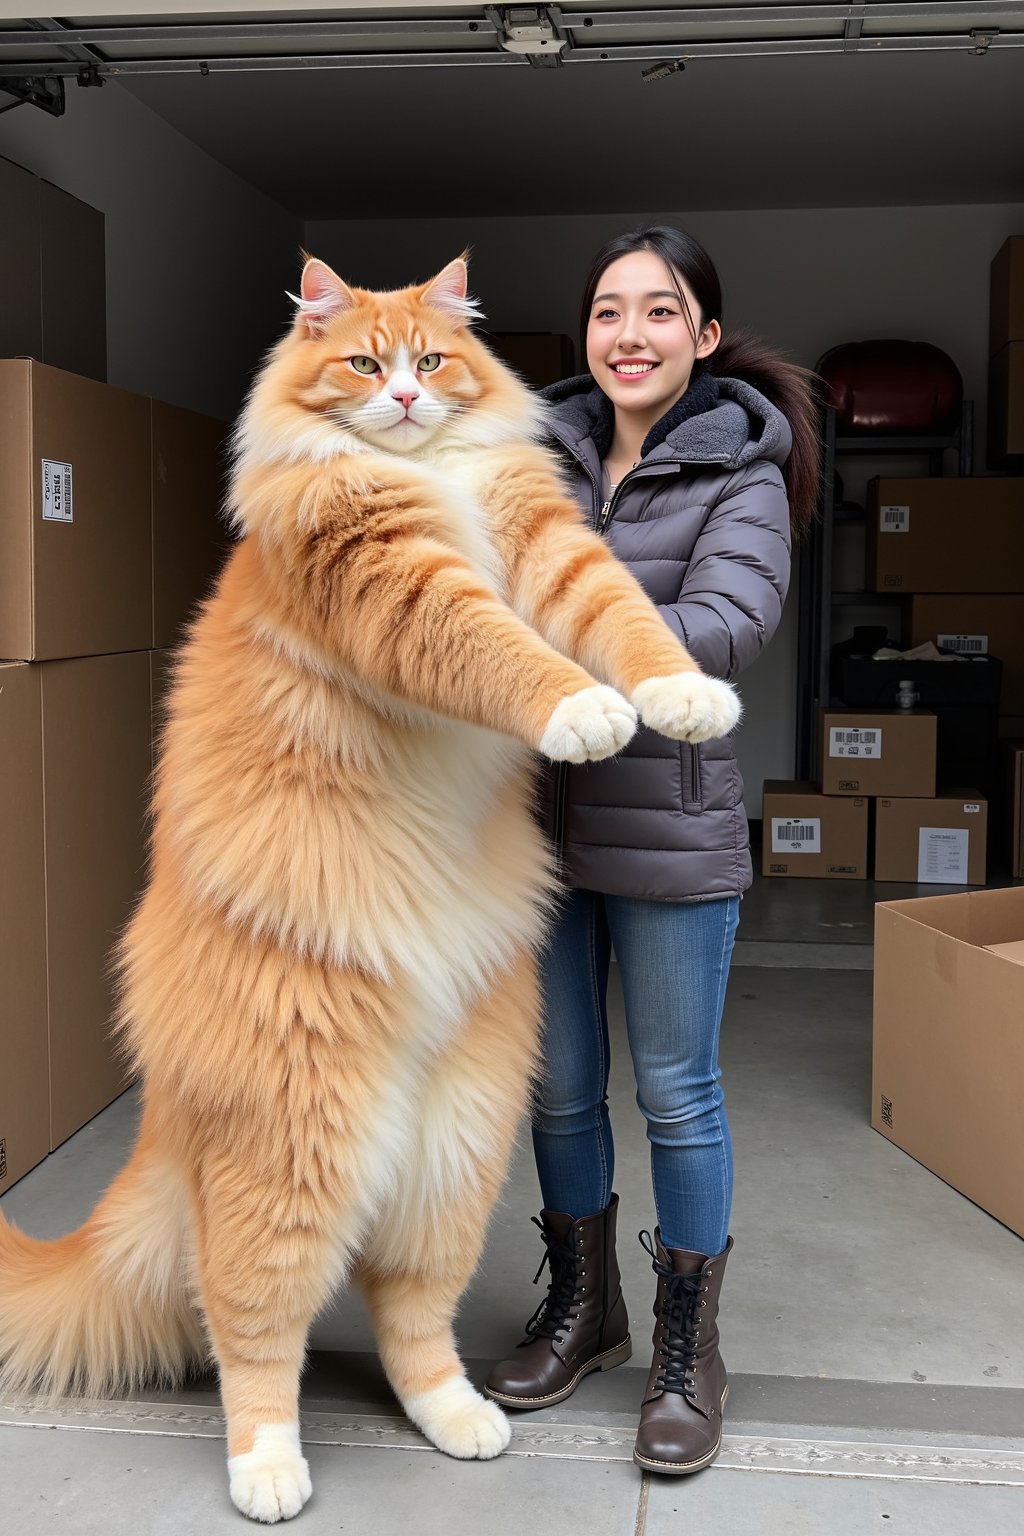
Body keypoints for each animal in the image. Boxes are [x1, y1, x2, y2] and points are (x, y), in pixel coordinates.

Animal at [0, 254, 739, 1523]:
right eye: (358, 362)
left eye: (431, 360)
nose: (399, 398)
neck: (427, 469)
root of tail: (167, 1127)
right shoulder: (396, 580)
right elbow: (511, 656)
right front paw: (582, 714)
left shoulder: (551, 549)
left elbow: (633, 628)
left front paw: (680, 698)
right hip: (292, 1158)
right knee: (252, 1336)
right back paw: (267, 1472)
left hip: (456, 1150)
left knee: (410, 1321)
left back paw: (462, 1417)